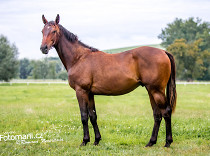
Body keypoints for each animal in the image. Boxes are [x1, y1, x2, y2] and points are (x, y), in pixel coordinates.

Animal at [40, 14, 176, 147]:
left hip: (156, 91)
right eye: (42, 31)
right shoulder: (90, 93)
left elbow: (84, 116)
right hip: (151, 91)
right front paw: (96, 140)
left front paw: (84, 141)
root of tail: (163, 51)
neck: (79, 58)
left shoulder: (81, 91)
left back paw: (167, 142)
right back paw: (151, 142)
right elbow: (93, 116)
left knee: (166, 112)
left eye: (53, 31)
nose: (43, 48)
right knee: (157, 115)